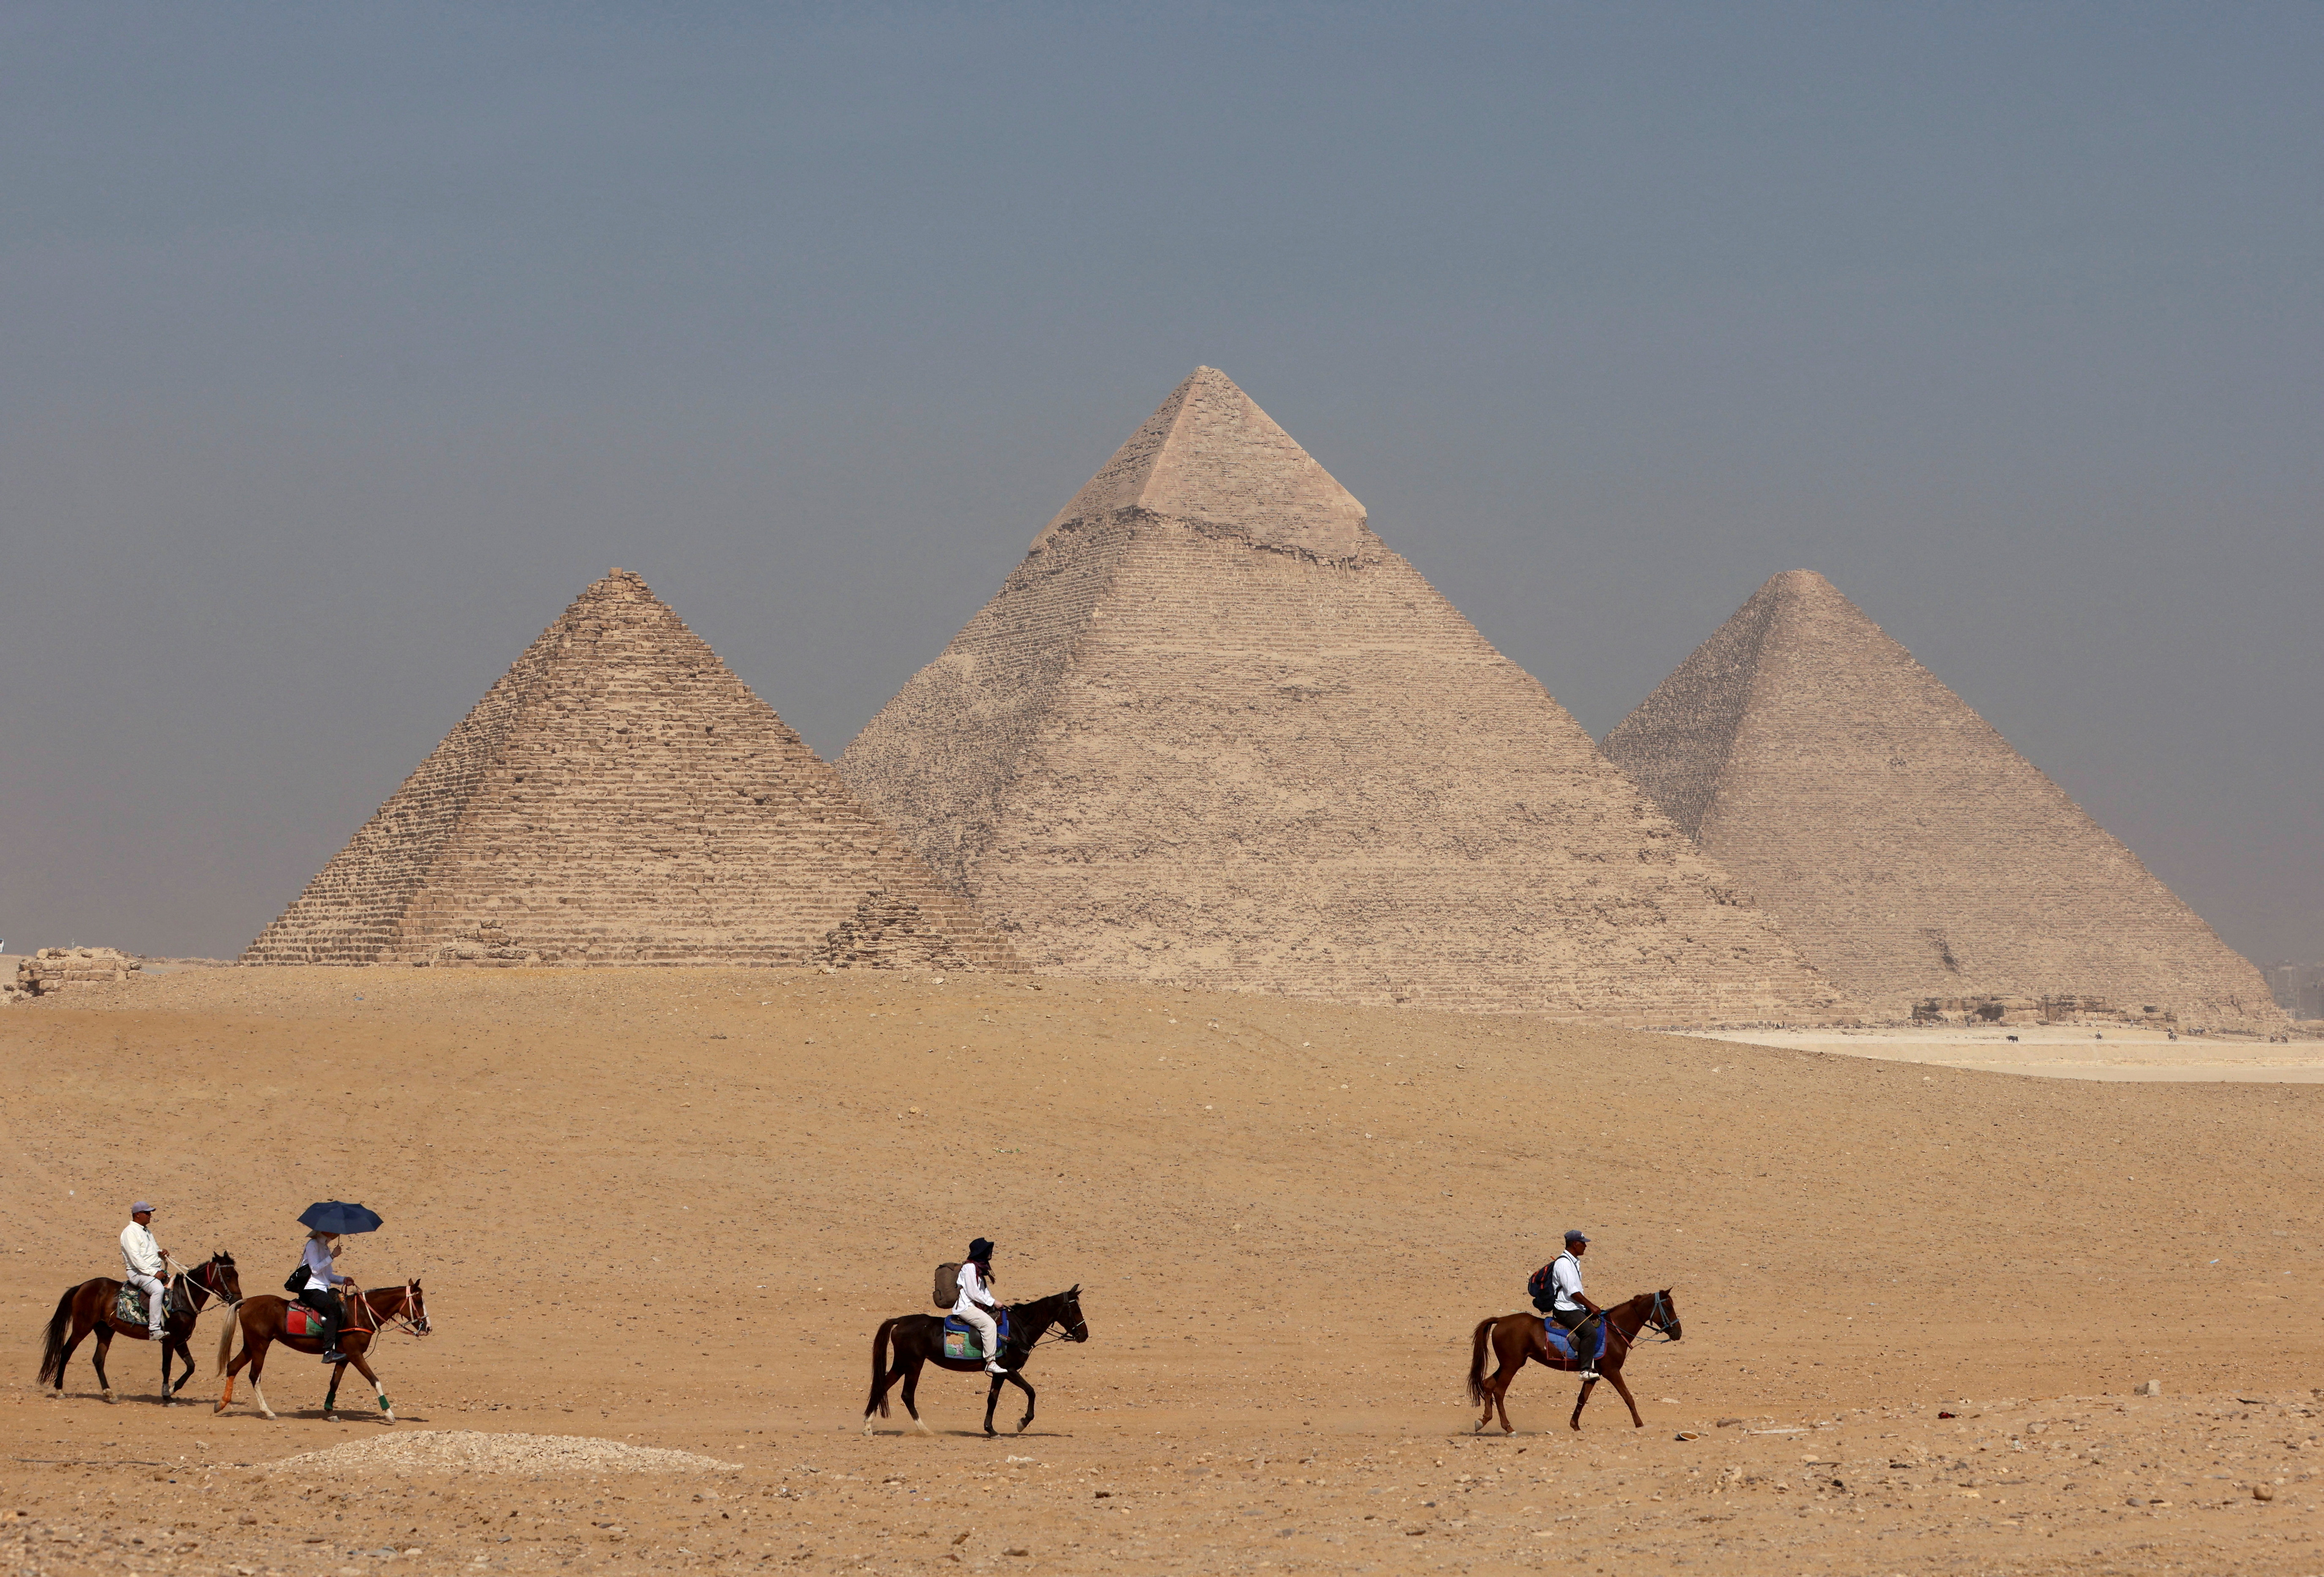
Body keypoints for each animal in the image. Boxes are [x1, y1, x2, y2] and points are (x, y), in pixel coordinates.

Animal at [35, 1252, 243, 1404]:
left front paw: (173, 1388)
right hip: (82, 1327)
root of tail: (82, 1287)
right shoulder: (169, 1340)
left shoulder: (180, 1340)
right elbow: (166, 1367)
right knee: (66, 1351)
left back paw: (110, 1394)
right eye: (227, 1275)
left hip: (105, 1330)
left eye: (237, 1275)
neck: (183, 1297)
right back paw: (59, 1389)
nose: (238, 1301)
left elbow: (191, 1367)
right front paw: (167, 1396)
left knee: (98, 1360)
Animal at [215, 1278, 430, 1422]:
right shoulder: (355, 1355)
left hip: (251, 1345)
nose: (428, 1328)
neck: (360, 1314)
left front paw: (330, 1411)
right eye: (419, 1301)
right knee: (254, 1375)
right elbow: (375, 1380)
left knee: (233, 1366)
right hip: (260, 1345)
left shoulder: (344, 1357)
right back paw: (267, 1412)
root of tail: (247, 1302)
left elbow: (334, 1383)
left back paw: (222, 1403)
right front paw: (389, 1413)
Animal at [864, 1286, 1088, 1437]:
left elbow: (992, 1400)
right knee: (906, 1395)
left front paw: (991, 1430)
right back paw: (924, 1430)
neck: (1018, 1328)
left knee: (883, 1386)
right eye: (1075, 1309)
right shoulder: (1009, 1369)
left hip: (903, 1364)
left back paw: (868, 1426)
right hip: (912, 1364)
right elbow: (1031, 1391)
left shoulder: (999, 1373)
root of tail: (901, 1320)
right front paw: (1023, 1422)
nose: (1084, 1335)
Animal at [1466, 1288, 1682, 1434]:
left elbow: (1582, 1399)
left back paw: (1483, 1421)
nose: (1678, 1333)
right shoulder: (1612, 1371)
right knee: (1499, 1391)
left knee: (1488, 1384)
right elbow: (1628, 1397)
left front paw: (1575, 1426)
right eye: (1668, 1306)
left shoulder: (1594, 1374)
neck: (1615, 1330)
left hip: (1508, 1364)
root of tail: (1501, 1320)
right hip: (1512, 1365)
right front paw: (1640, 1424)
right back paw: (1508, 1427)